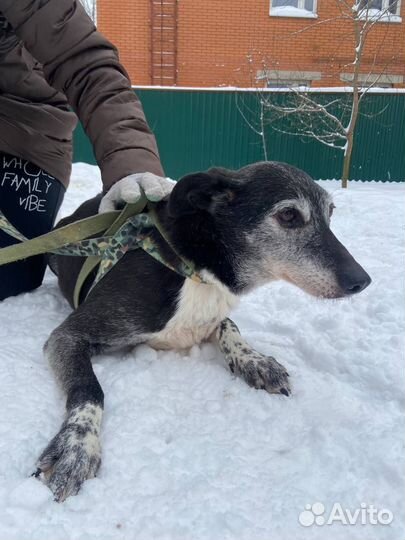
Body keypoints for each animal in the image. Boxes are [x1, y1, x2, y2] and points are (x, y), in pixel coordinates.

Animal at [34, 161, 370, 502]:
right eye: (289, 215)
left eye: (330, 213)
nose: (362, 281)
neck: (194, 267)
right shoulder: (71, 334)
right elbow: (89, 389)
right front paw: (77, 448)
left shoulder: (212, 315)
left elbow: (229, 325)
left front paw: (255, 361)